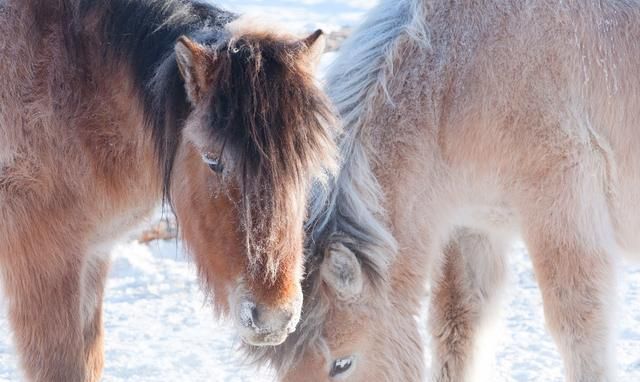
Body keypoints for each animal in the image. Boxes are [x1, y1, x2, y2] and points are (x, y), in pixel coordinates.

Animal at [248, 0, 640, 380]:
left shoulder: (562, 209)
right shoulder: (472, 225)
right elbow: (457, 323)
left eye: (342, 364)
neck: (452, 86)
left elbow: (578, 324)